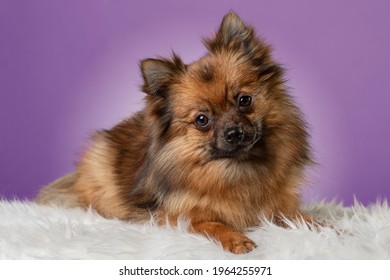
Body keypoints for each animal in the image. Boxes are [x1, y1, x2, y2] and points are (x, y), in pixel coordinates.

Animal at [36, 12, 316, 254]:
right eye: (202, 120)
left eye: (244, 100)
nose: (234, 132)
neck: (236, 168)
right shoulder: (177, 216)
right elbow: (212, 223)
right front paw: (235, 238)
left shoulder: (278, 206)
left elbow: (293, 216)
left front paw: (318, 226)